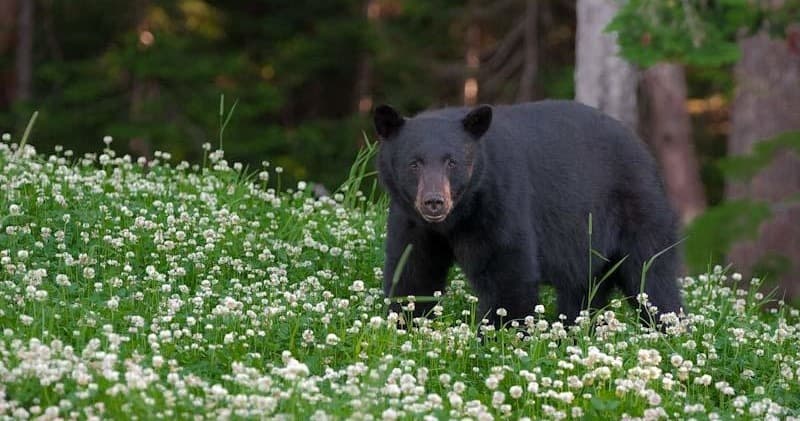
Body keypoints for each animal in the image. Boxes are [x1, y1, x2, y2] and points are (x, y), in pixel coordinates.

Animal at [373, 100, 684, 329]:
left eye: (452, 162)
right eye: (414, 163)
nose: (434, 202)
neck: (456, 219)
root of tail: (644, 149)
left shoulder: (500, 202)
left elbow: (507, 275)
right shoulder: (412, 222)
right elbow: (413, 274)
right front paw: (404, 324)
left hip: (637, 210)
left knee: (653, 279)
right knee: (583, 294)